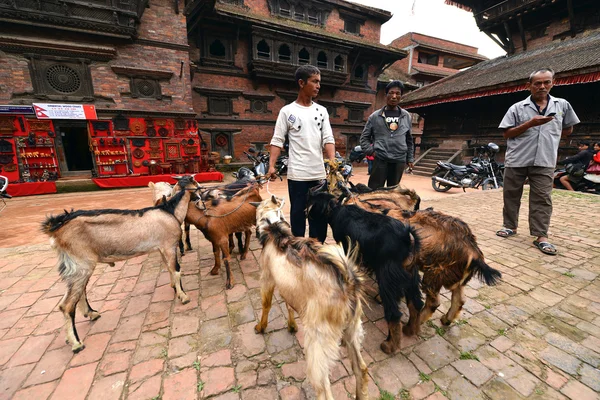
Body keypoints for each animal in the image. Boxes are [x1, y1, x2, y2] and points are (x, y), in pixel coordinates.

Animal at [41, 177, 199, 352]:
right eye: (196, 185)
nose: (200, 200)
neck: (169, 211)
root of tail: (56, 228)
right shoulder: (169, 246)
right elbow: (176, 270)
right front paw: (183, 296)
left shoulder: (162, 248)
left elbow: (170, 269)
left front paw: (174, 288)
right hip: (81, 263)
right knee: (67, 305)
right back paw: (76, 343)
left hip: (75, 266)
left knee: (77, 293)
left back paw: (91, 315)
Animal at [251, 197, 368, 400]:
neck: (273, 227)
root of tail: (347, 283)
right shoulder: (288, 288)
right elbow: (289, 305)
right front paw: (292, 326)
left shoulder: (267, 278)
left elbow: (266, 303)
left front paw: (261, 327)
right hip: (353, 329)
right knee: (360, 368)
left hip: (318, 341)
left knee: (323, 389)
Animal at [310, 191, 422, 354]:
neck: (336, 209)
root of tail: (407, 238)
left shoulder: (347, 248)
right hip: (411, 275)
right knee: (416, 303)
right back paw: (410, 329)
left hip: (387, 275)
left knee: (394, 314)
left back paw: (389, 345)